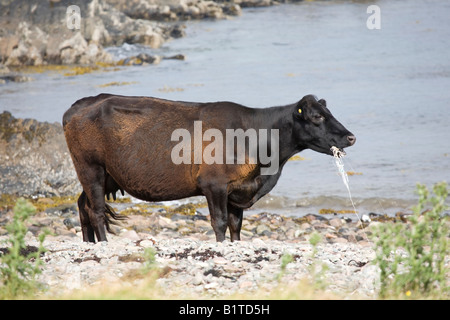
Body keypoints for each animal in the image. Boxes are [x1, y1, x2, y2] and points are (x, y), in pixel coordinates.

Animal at [62, 94, 356, 241]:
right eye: (317, 116)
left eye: (329, 113)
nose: (351, 137)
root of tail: (79, 104)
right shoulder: (213, 184)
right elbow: (220, 222)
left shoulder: (238, 190)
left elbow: (236, 225)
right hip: (91, 168)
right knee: (96, 210)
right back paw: (104, 244)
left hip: (105, 175)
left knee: (83, 205)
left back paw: (89, 244)